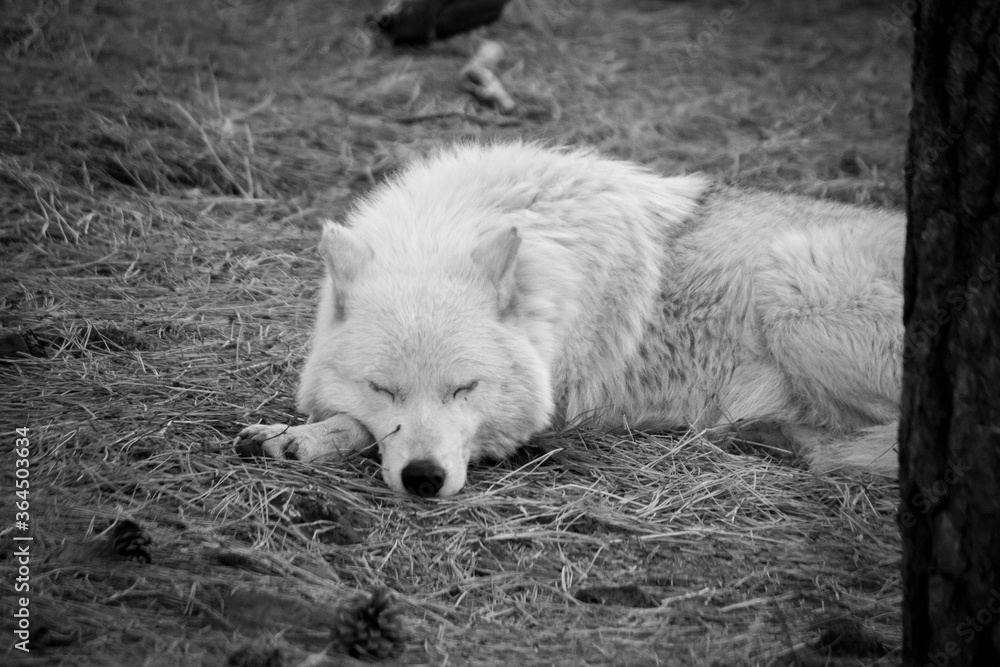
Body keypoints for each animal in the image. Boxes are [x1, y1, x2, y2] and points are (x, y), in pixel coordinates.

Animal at [236, 142, 903, 497]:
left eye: (465, 388)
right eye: (383, 387)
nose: (424, 478)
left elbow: (355, 426)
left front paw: (308, 436)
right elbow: (356, 420)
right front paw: (291, 435)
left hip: (791, 285)